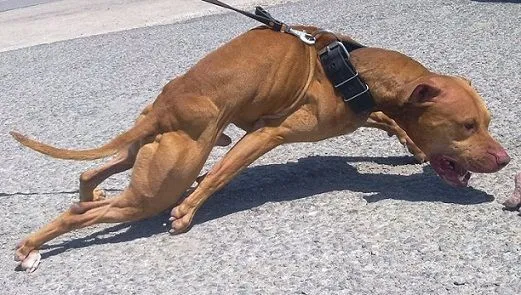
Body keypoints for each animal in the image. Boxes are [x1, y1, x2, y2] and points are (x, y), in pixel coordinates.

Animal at [10, 26, 510, 272]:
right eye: (467, 125)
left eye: (487, 122)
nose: (504, 159)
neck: (355, 70)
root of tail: (165, 106)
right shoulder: (269, 134)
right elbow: (222, 174)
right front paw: (188, 211)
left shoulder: (355, 113)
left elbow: (387, 120)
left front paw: (409, 145)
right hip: (158, 185)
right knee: (84, 212)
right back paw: (31, 248)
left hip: (144, 155)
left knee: (89, 175)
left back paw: (85, 195)